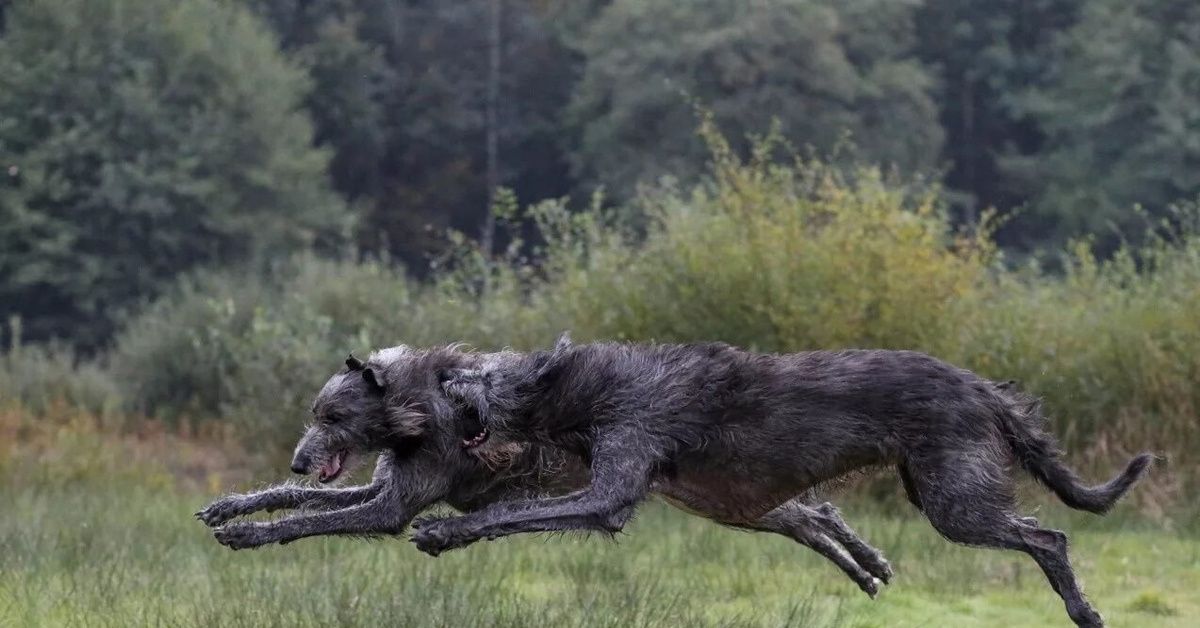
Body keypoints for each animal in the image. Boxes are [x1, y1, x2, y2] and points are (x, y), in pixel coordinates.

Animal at [192, 348, 897, 600]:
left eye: (333, 415)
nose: (299, 455)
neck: (418, 405)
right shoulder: (385, 483)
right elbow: (296, 498)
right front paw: (231, 507)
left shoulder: (393, 505)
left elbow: (307, 520)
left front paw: (248, 535)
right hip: (725, 498)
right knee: (811, 514)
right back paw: (866, 565)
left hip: (722, 493)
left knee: (811, 513)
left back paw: (866, 563)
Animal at [412, 333, 1152, 628]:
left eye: (484, 373)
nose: (442, 378)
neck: (589, 387)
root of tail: (983, 388)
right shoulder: (732, 496)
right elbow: (816, 518)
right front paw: (867, 566)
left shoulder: (616, 477)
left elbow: (515, 515)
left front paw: (444, 532)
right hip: (931, 483)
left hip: (955, 502)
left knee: (1050, 537)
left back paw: (1084, 611)